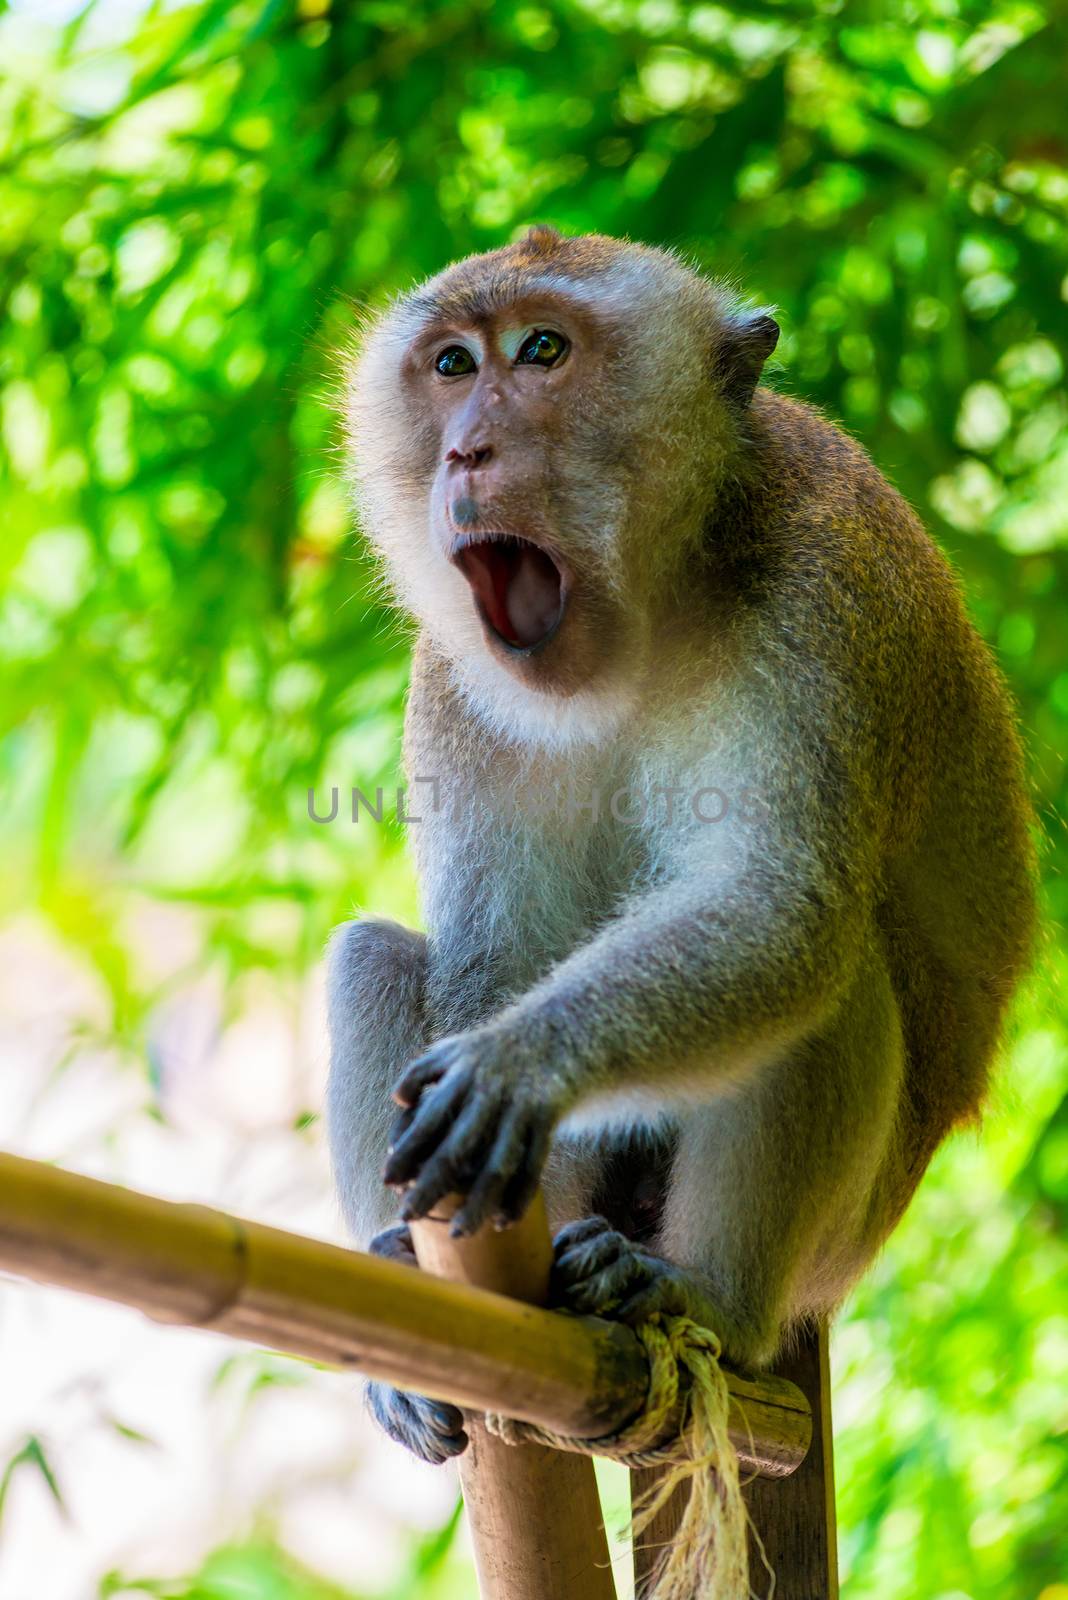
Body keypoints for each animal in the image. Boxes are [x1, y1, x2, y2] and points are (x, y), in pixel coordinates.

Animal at [326, 225, 1036, 1465]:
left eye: (543, 350)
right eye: (452, 365)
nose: (467, 450)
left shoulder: (818, 595)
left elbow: (776, 908)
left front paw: (522, 1064)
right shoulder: (450, 680)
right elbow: (492, 963)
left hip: (846, 1241)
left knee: (822, 976)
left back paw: (704, 1294)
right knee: (374, 954)